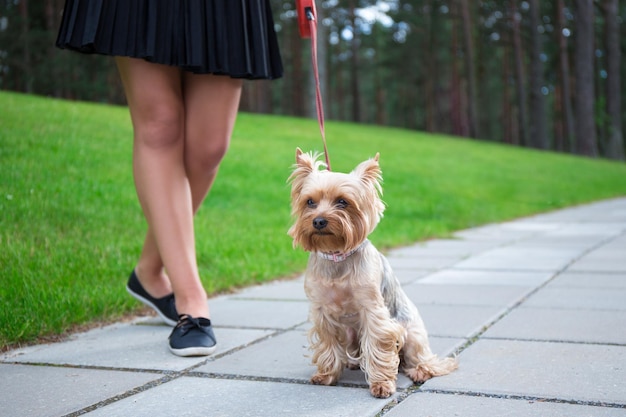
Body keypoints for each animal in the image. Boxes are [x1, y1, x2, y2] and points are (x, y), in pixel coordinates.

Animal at [286, 149, 454, 396]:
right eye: (310, 202)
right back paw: (352, 362)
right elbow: (328, 343)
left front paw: (381, 384)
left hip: (411, 332)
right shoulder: (322, 311)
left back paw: (420, 371)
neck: (337, 255)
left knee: (420, 357)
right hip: (349, 333)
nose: (318, 221)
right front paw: (326, 376)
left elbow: (378, 346)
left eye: (342, 202)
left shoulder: (373, 311)